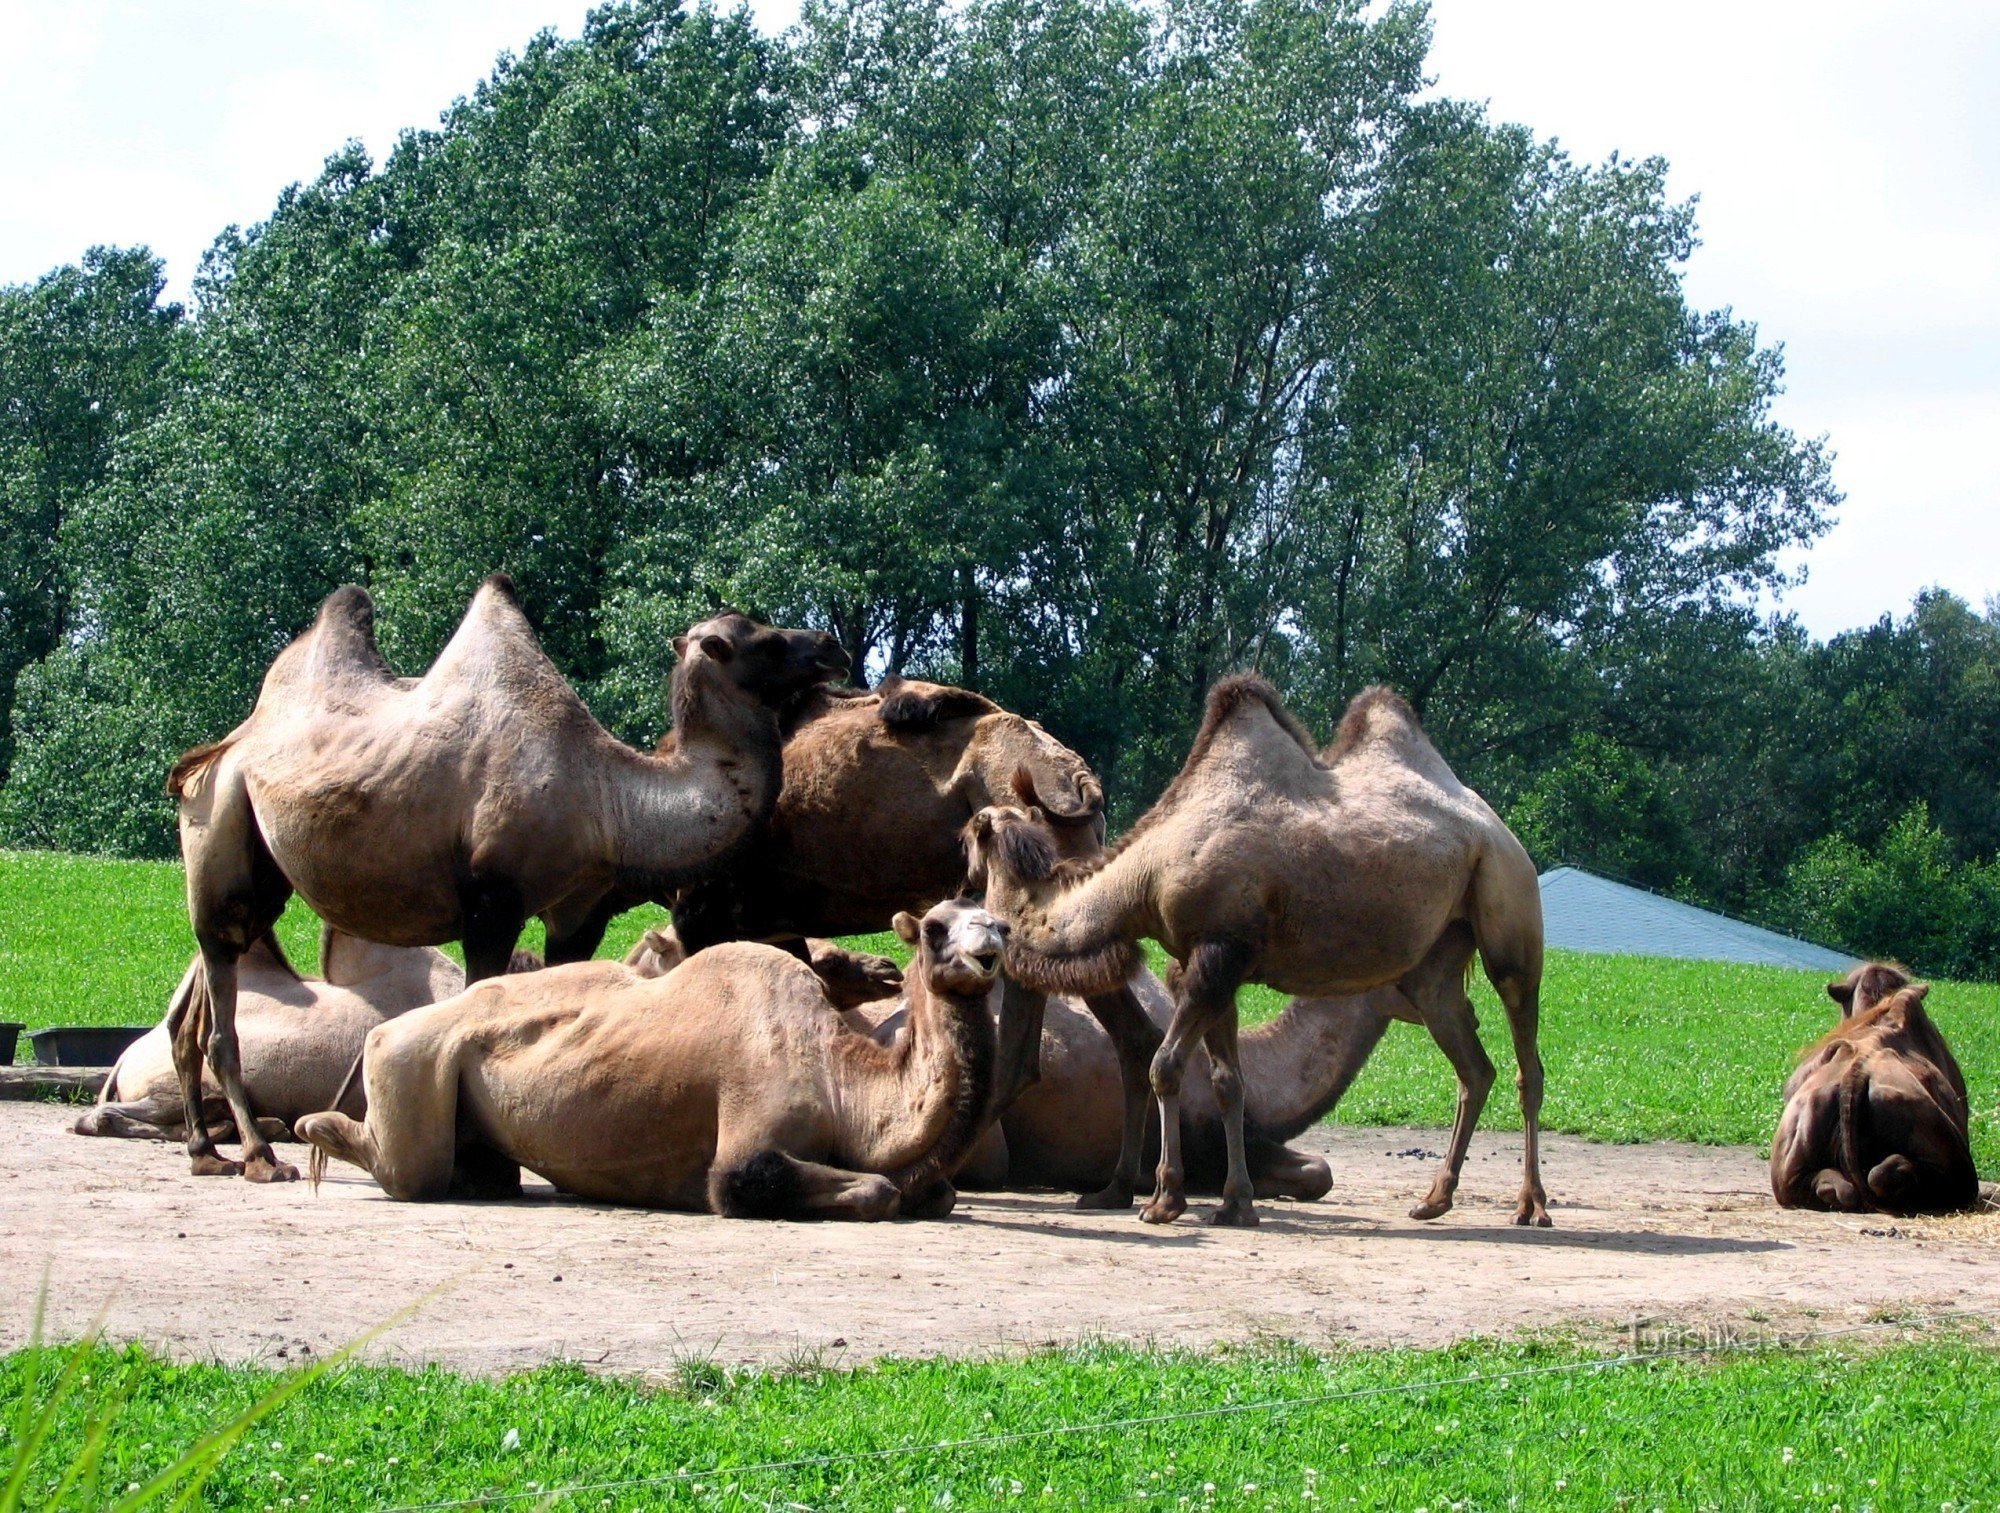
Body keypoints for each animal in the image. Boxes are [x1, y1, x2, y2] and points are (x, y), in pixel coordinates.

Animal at [160, 580, 840, 1184]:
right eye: (766, 641)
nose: (832, 644)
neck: (609, 799)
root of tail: (215, 752)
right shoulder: (493, 901)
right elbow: (478, 997)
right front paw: (483, 1164)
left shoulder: (578, 909)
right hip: (220, 821)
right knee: (219, 990)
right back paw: (258, 1157)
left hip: (258, 865)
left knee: (198, 1000)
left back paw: (204, 1152)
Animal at [296, 892, 1008, 1224]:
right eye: (936, 928)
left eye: (996, 918)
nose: (992, 944)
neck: (843, 1081)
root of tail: (383, 1029)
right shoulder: (745, 1146)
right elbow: (868, 1187)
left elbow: (936, 1193)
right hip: (407, 1061)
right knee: (409, 1172)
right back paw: (314, 1126)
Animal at [964, 680, 1544, 1224]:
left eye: (971, 835)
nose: (964, 870)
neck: (1146, 875)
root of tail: (1501, 832)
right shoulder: (1207, 960)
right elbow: (1227, 1082)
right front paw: (1235, 1203)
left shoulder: (1220, 950)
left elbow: (1164, 1065)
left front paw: (1165, 1200)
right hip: (1434, 965)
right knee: (1473, 1067)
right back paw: (1435, 1199)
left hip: (1509, 905)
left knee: (1526, 1058)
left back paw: (1531, 1206)